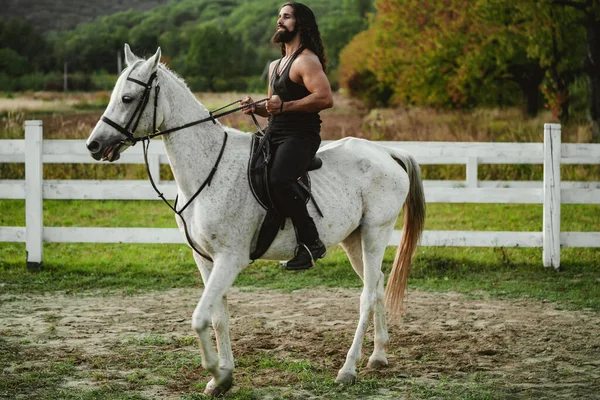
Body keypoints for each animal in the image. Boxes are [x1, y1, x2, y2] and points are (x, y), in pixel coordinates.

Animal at [85, 44, 426, 396]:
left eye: (127, 98)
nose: (94, 145)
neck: (209, 170)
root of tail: (386, 153)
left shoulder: (230, 259)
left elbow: (199, 317)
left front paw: (218, 374)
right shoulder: (205, 259)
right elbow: (218, 317)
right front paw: (222, 378)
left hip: (375, 233)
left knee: (367, 295)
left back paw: (348, 368)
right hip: (354, 240)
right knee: (378, 284)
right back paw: (378, 356)